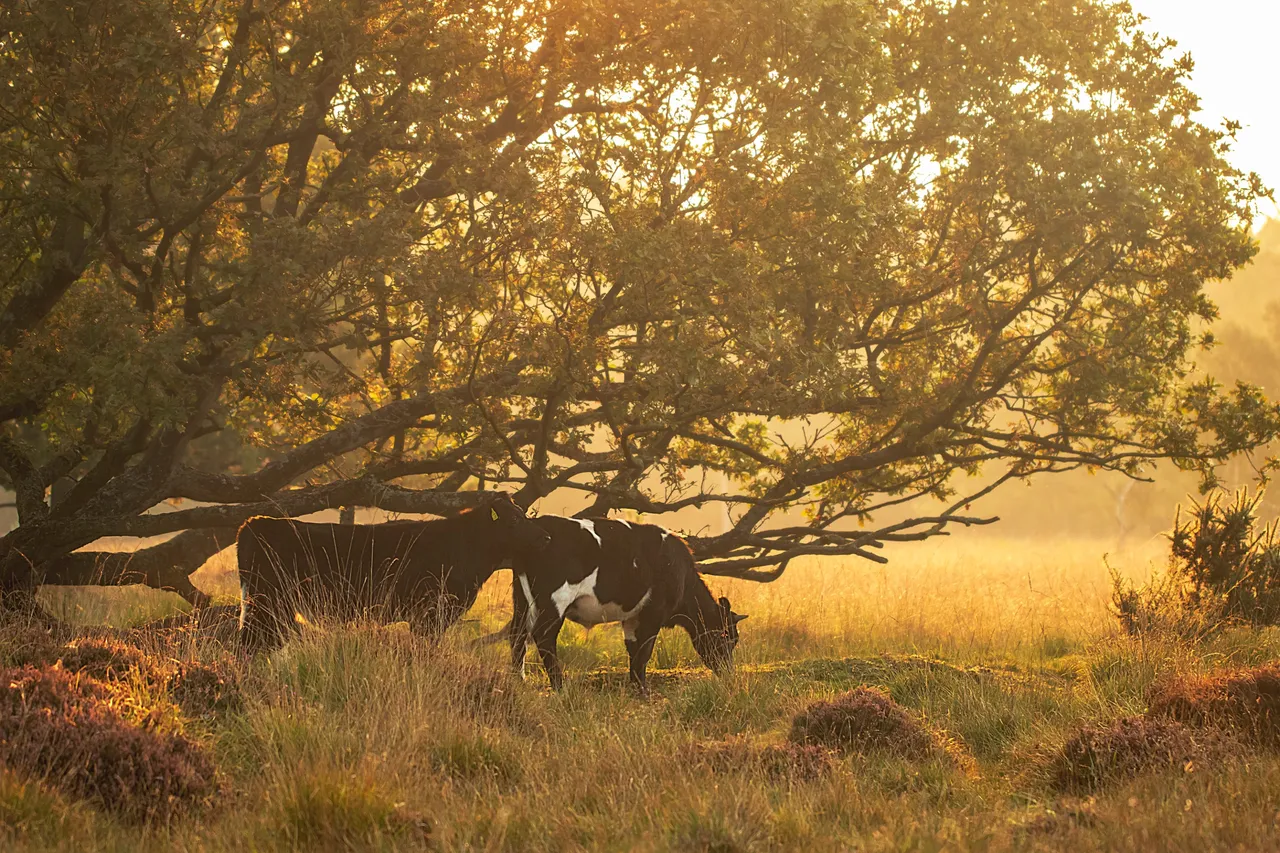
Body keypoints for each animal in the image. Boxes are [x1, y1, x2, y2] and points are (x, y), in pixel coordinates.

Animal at [506, 512, 747, 691]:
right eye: (725, 636)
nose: (728, 672)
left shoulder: (632, 617)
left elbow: (633, 649)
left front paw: (636, 686)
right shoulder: (653, 613)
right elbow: (644, 651)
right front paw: (643, 690)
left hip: (522, 601)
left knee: (517, 635)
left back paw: (519, 681)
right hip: (555, 600)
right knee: (543, 637)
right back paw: (559, 687)